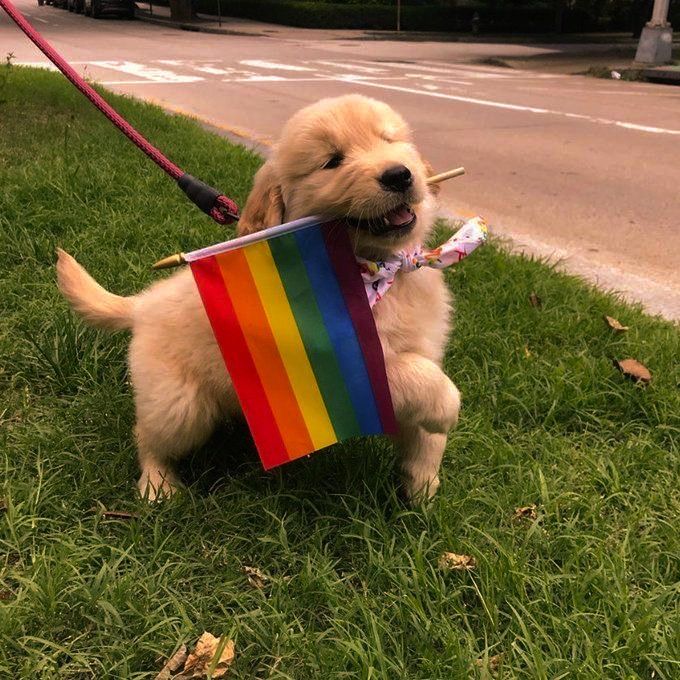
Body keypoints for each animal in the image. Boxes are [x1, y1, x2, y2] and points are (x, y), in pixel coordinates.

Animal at [59, 94, 462, 500]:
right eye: (333, 161)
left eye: (390, 140)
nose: (399, 174)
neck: (378, 269)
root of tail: (143, 303)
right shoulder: (331, 368)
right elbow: (418, 376)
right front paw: (447, 407)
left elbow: (424, 428)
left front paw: (423, 485)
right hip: (180, 405)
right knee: (147, 436)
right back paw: (158, 484)